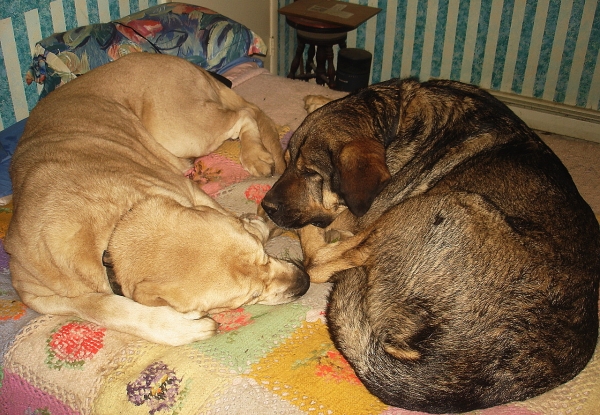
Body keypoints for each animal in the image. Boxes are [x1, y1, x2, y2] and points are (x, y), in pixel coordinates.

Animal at [2, 52, 308, 346]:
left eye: (265, 257)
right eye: (251, 296)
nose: (305, 282)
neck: (116, 231)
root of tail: (168, 58)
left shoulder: (185, 189)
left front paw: (259, 224)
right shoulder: (38, 295)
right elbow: (106, 308)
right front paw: (180, 327)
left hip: (183, 130)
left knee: (244, 114)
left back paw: (255, 154)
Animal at [262, 79, 600, 415]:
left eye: (310, 173)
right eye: (288, 161)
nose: (266, 206)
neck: (397, 121)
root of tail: (460, 368)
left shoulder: (366, 213)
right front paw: (315, 99)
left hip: (441, 203)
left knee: (319, 262)